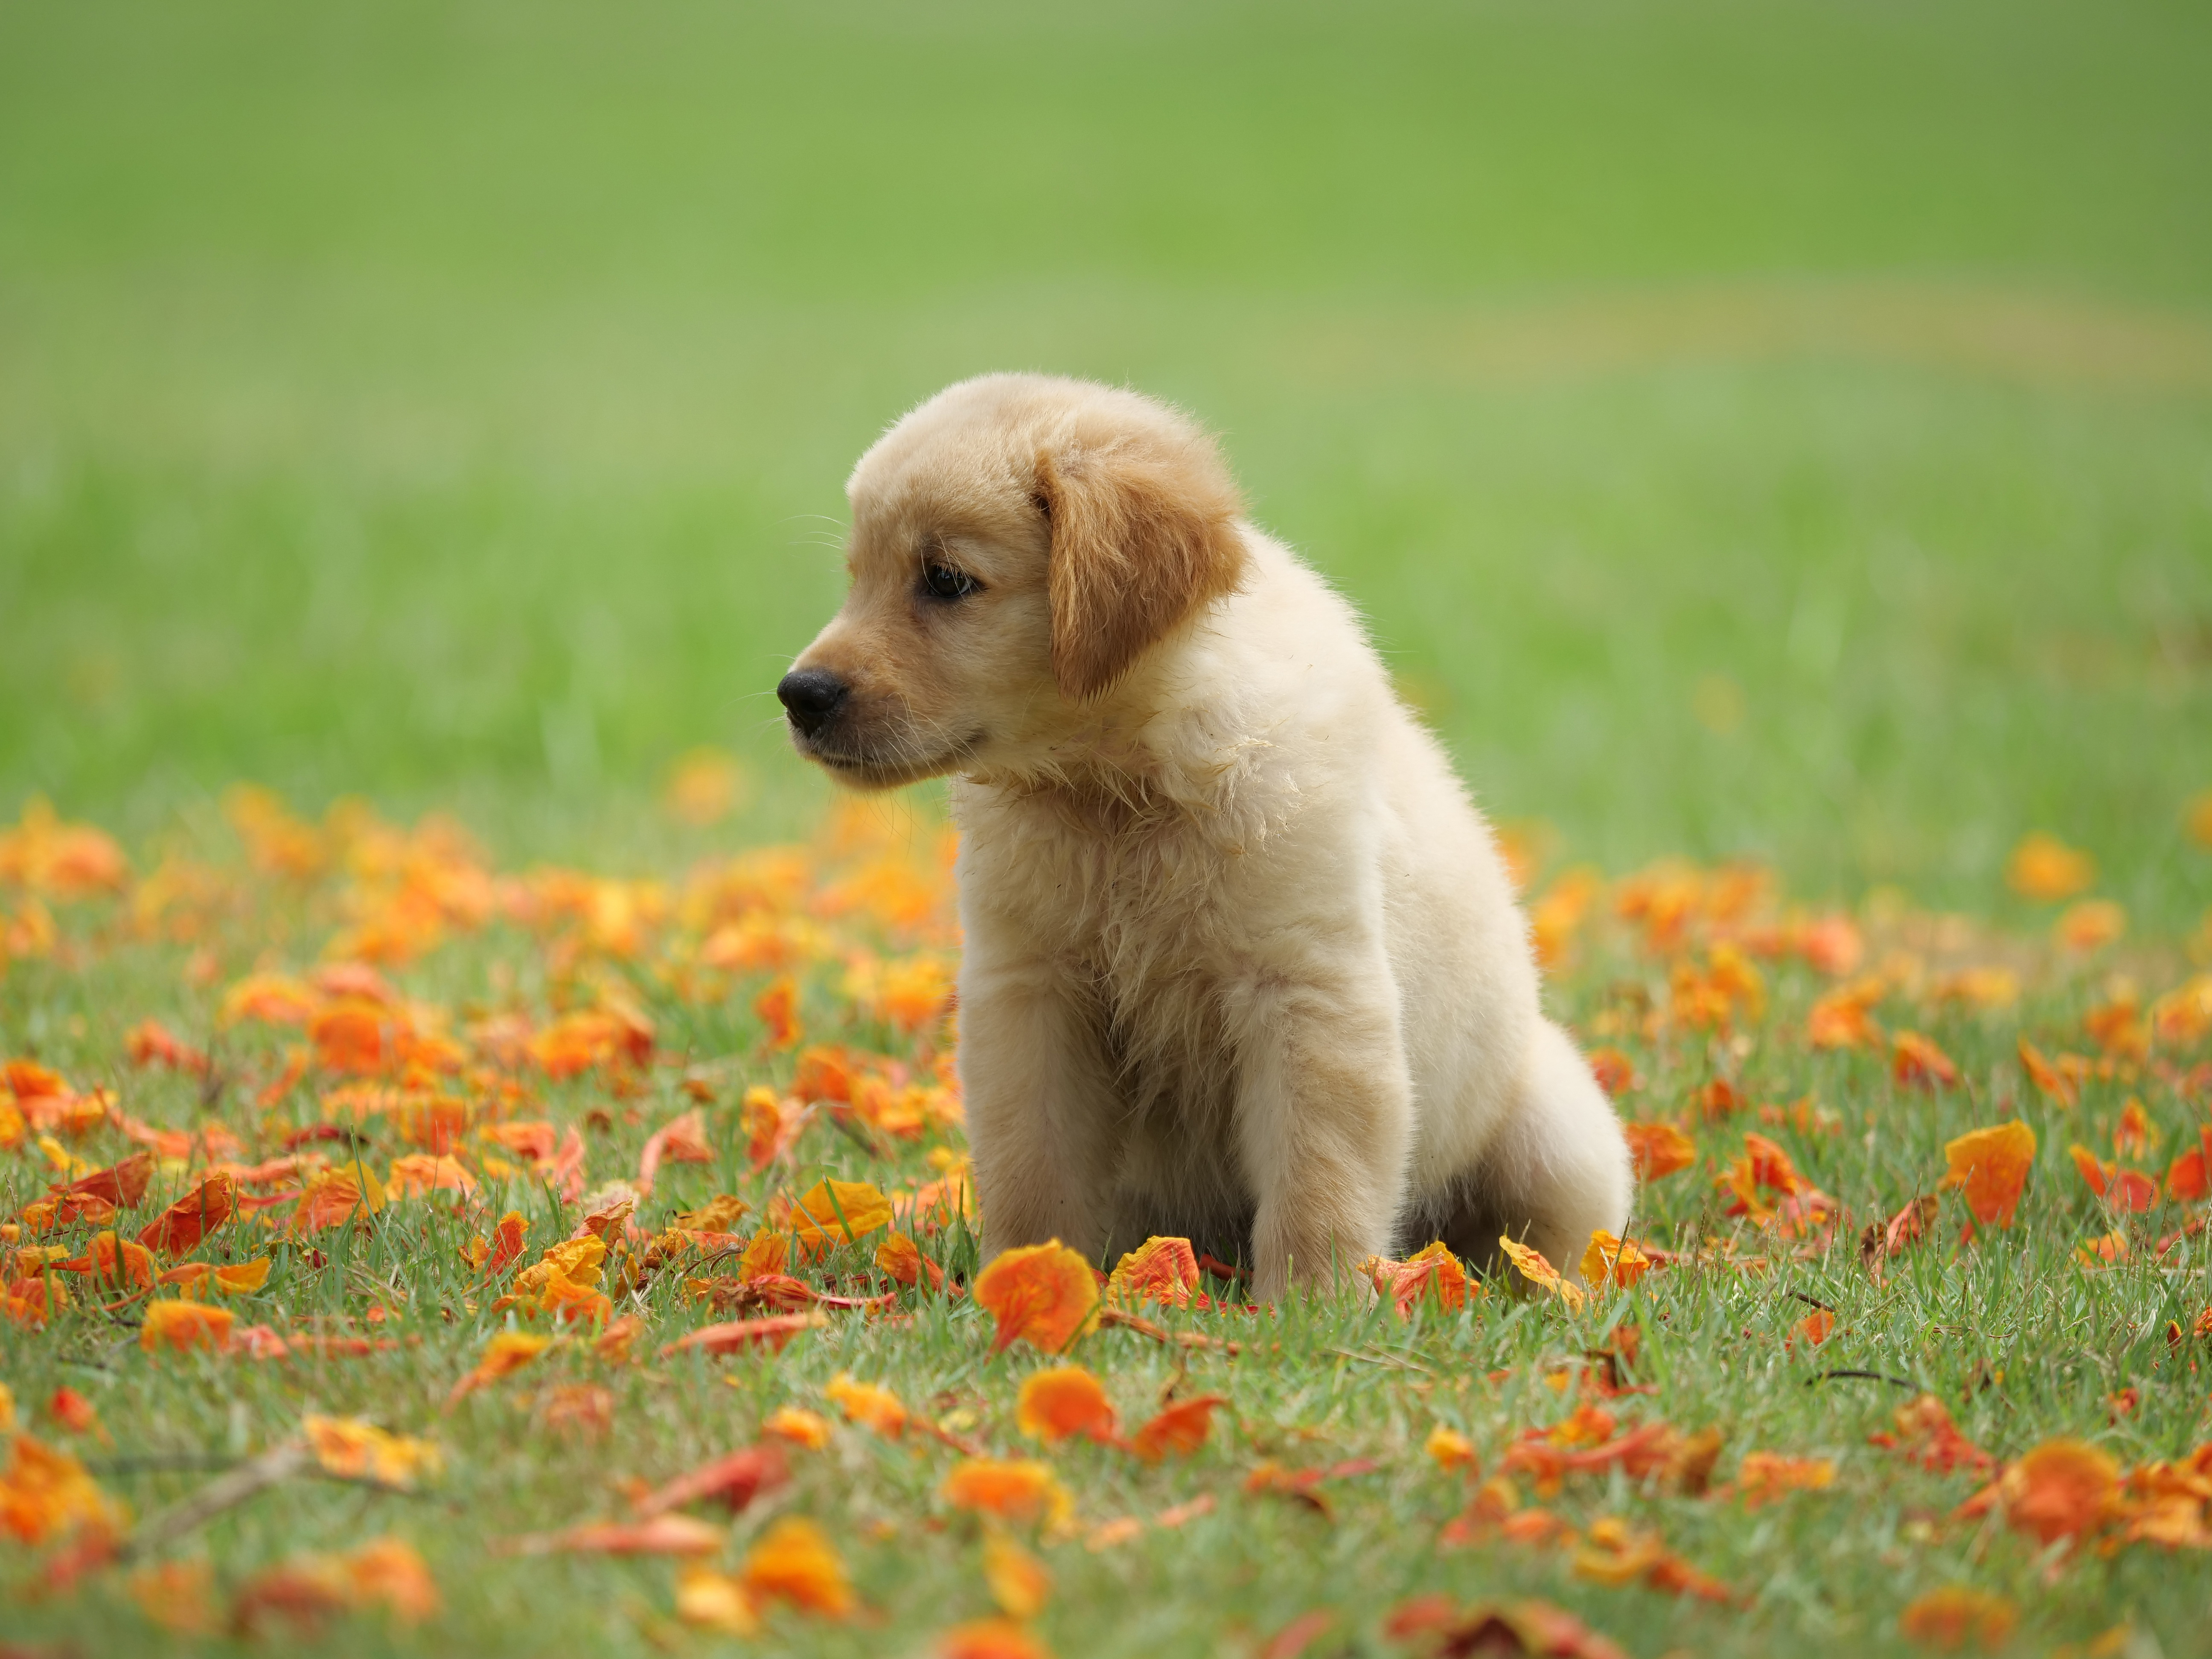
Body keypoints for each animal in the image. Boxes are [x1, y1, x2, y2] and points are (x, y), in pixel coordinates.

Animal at [778, 374, 1628, 1301]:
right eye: (857, 578)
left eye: (944, 579)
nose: (799, 694)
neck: (1118, 794)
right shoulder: (1030, 992)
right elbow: (1031, 1166)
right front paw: (1030, 1281)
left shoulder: (1309, 995)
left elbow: (1317, 1178)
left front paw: (1311, 1307)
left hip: (1555, 1134)